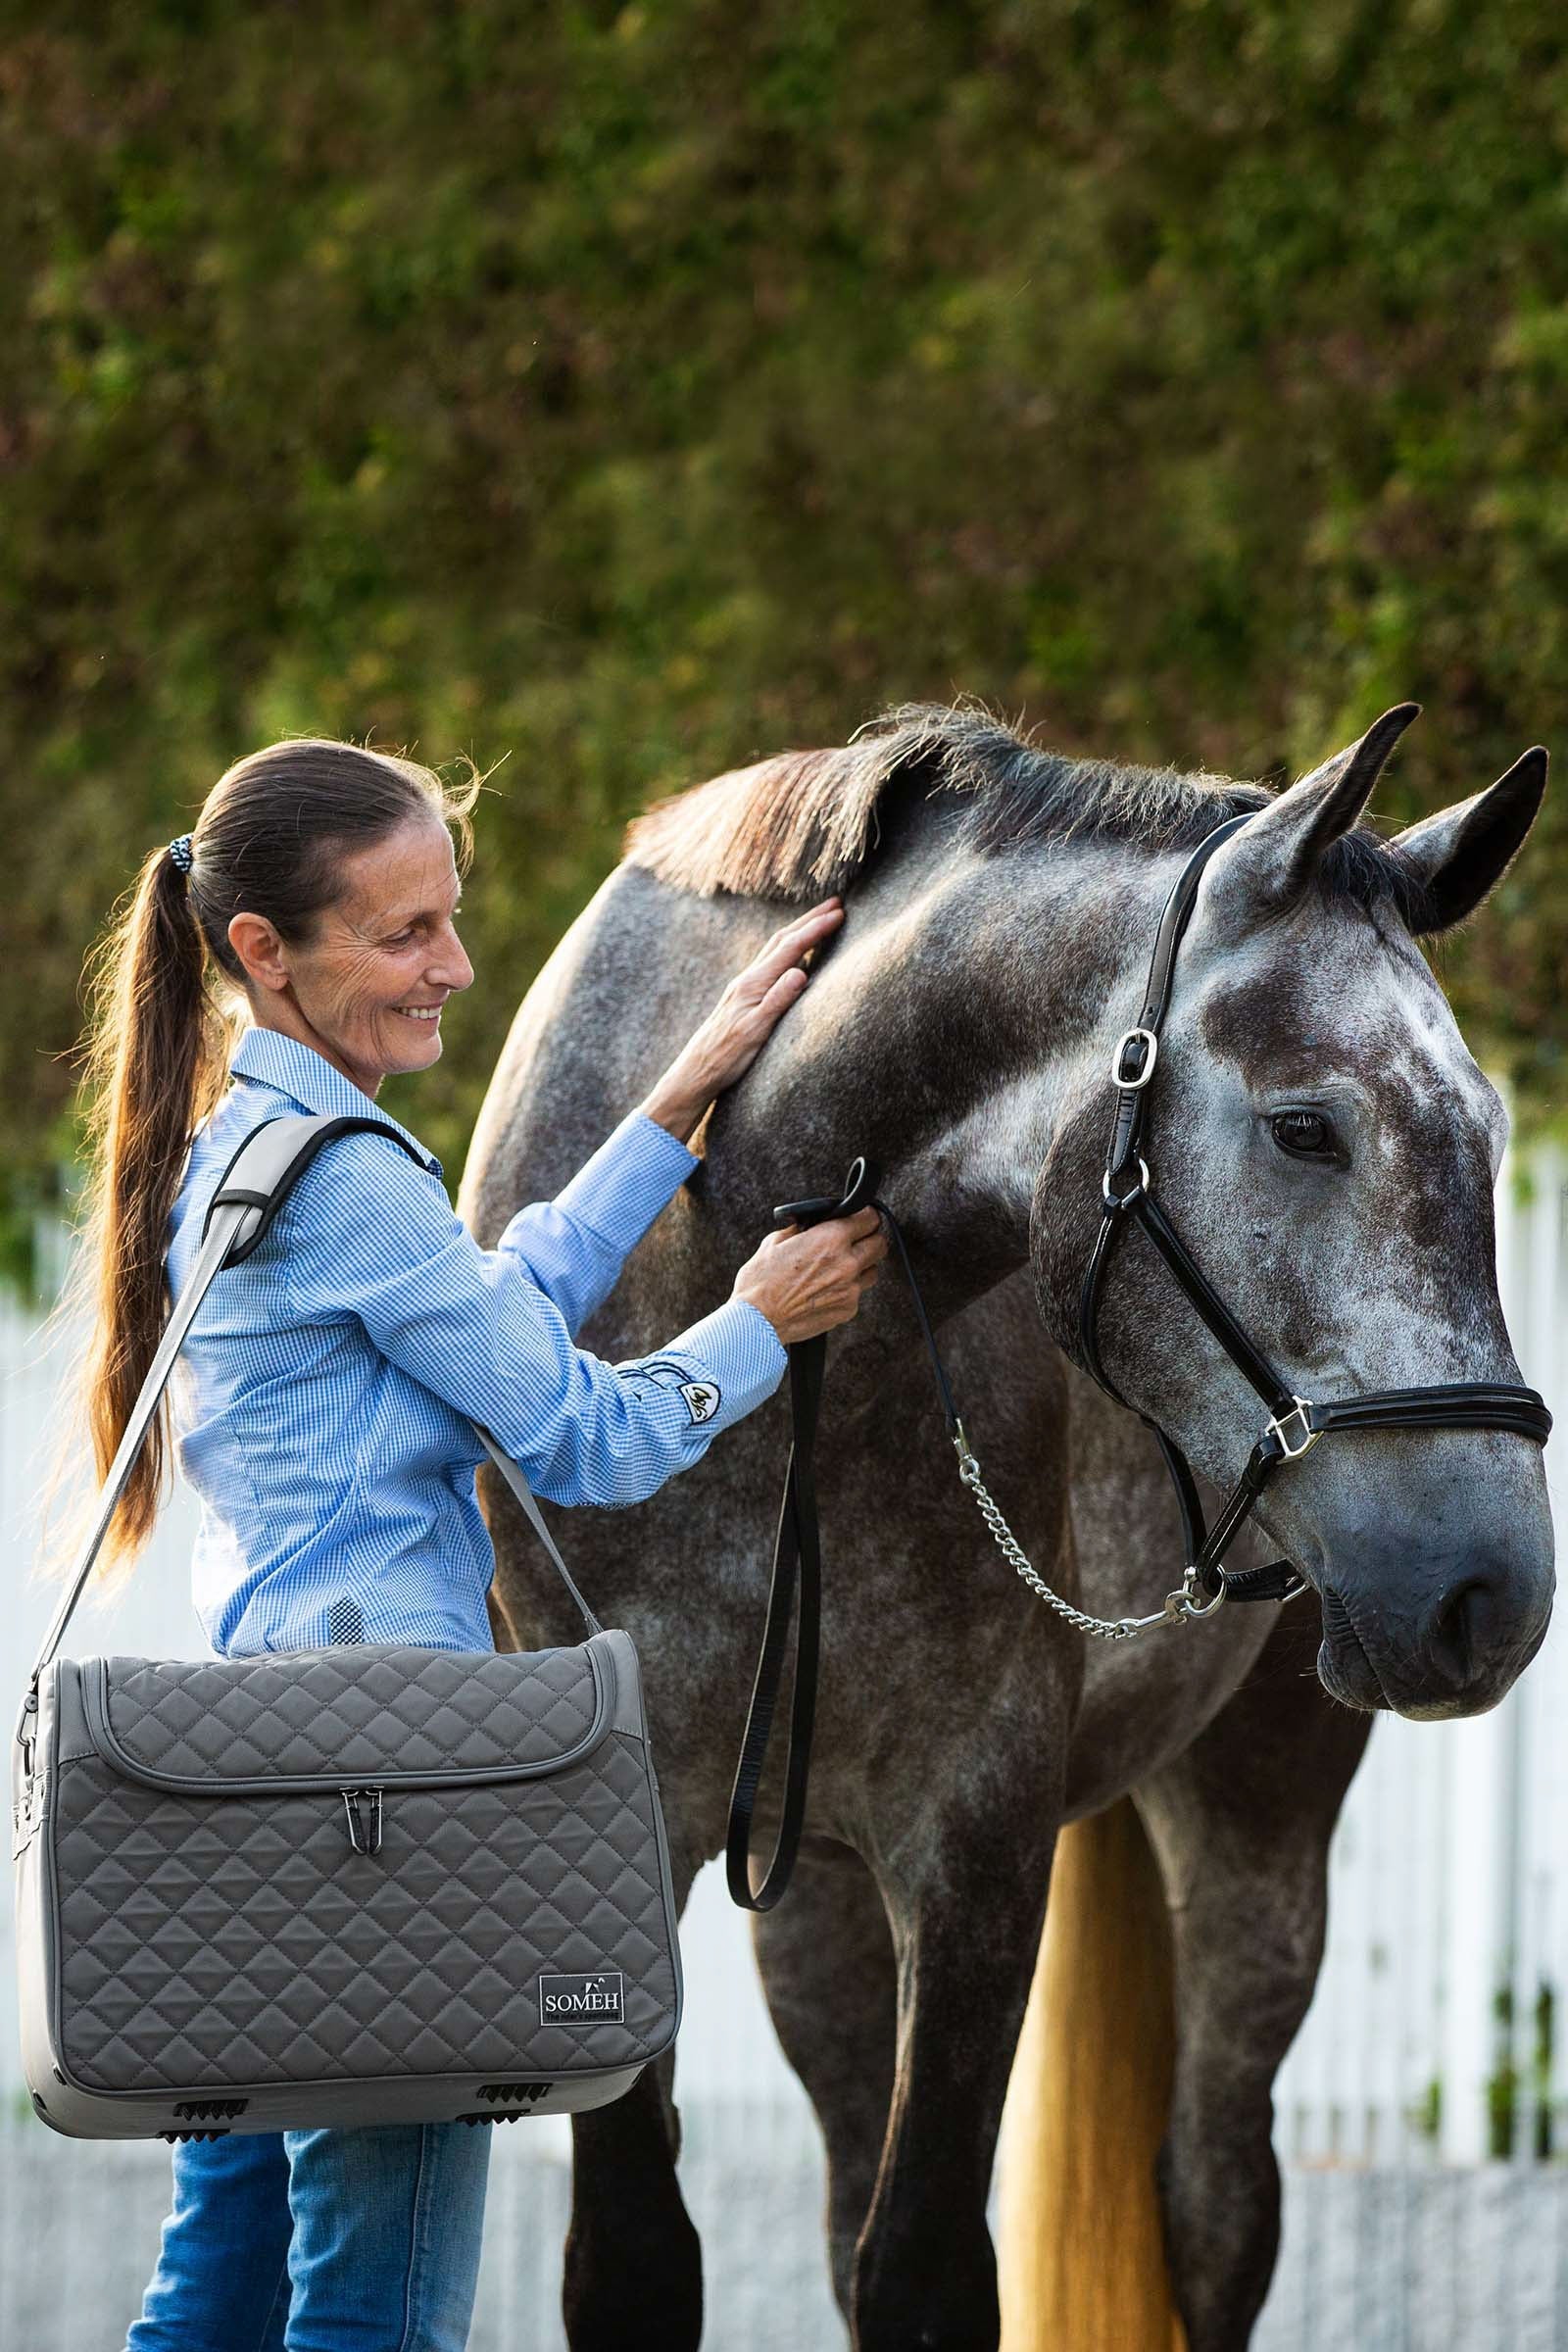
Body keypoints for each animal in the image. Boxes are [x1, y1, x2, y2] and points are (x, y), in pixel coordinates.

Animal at [456, 699, 1554, 2352]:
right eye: (1307, 1129)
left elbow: (922, 2271)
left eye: (1489, 1130)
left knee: (1217, 2207)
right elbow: (648, 2260)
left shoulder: (975, 1849)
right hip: (812, 1884)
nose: (1493, 1594)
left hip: (1258, 1823)